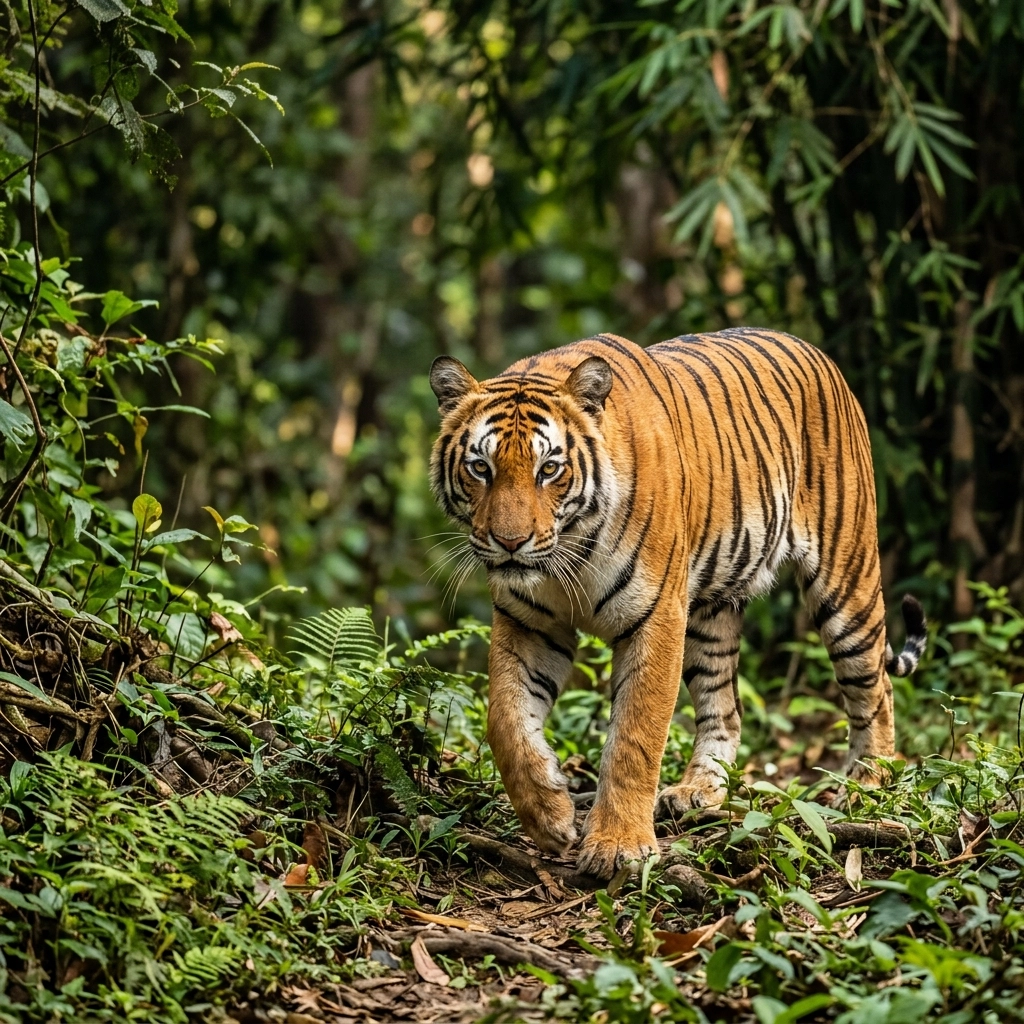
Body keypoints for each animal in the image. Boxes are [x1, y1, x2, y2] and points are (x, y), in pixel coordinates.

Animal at [428, 329, 927, 879]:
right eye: (481, 467)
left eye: (549, 469)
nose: (510, 543)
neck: (568, 553)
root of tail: (819, 354)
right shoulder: (528, 623)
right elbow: (505, 720)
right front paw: (549, 816)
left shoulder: (656, 615)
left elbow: (635, 734)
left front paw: (618, 847)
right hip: (711, 614)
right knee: (726, 709)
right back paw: (698, 792)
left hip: (846, 582)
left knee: (876, 692)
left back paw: (865, 789)